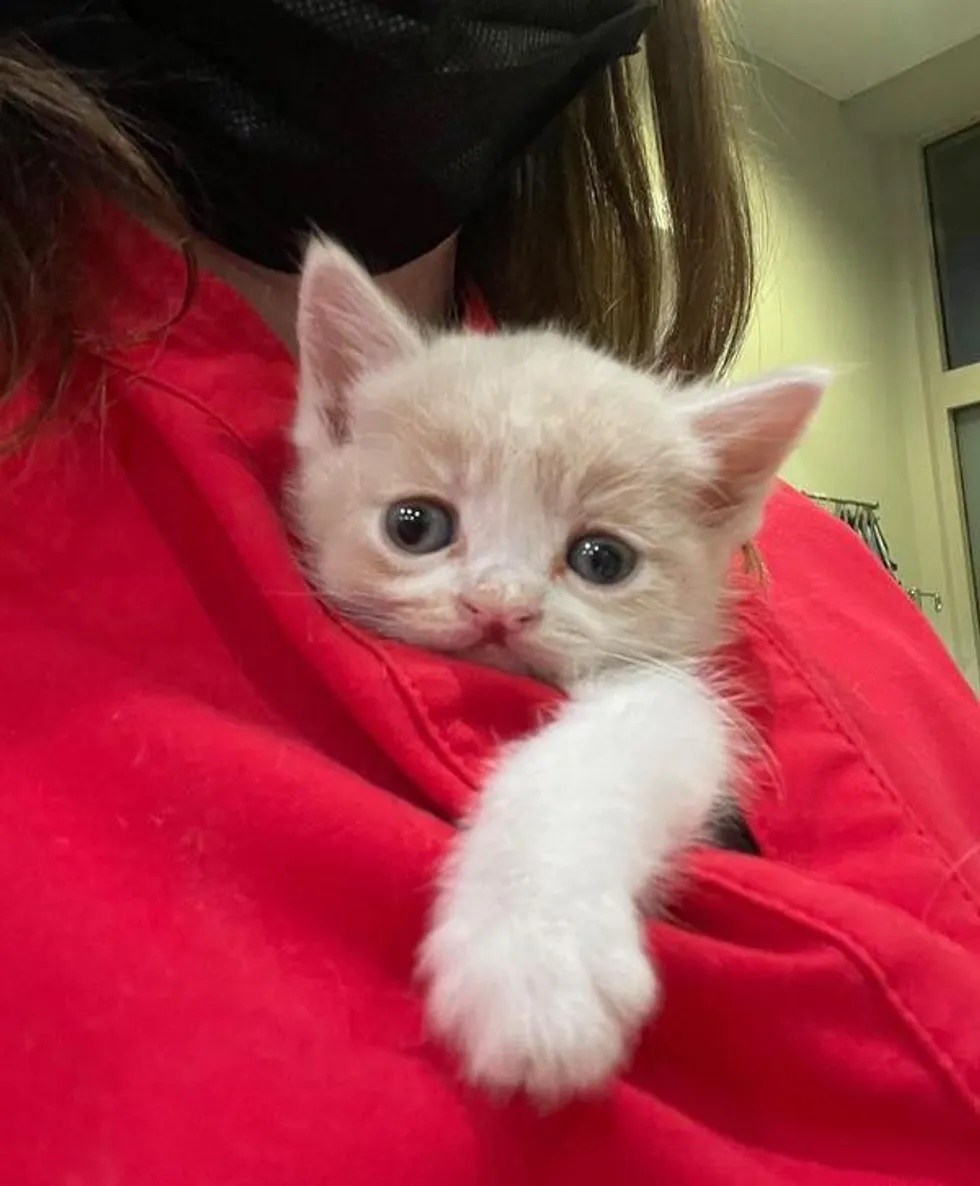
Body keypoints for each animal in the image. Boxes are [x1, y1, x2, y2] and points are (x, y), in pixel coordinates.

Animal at [290, 236, 825, 1105]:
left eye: (601, 559)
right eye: (415, 525)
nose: (498, 605)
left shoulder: (670, 694)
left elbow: (596, 760)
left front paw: (536, 960)